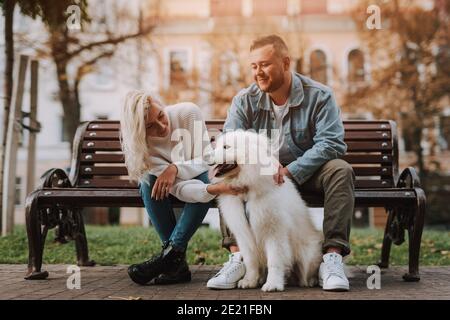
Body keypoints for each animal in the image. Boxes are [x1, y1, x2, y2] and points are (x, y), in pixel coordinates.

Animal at [207, 130, 324, 292]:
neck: (247, 192)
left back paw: (310, 281)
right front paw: (249, 281)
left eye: (226, 147)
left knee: (308, 271)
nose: (205, 157)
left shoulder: (274, 231)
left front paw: (273, 284)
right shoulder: (244, 234)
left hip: (308, 254)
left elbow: (274, 261)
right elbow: (250, 261)